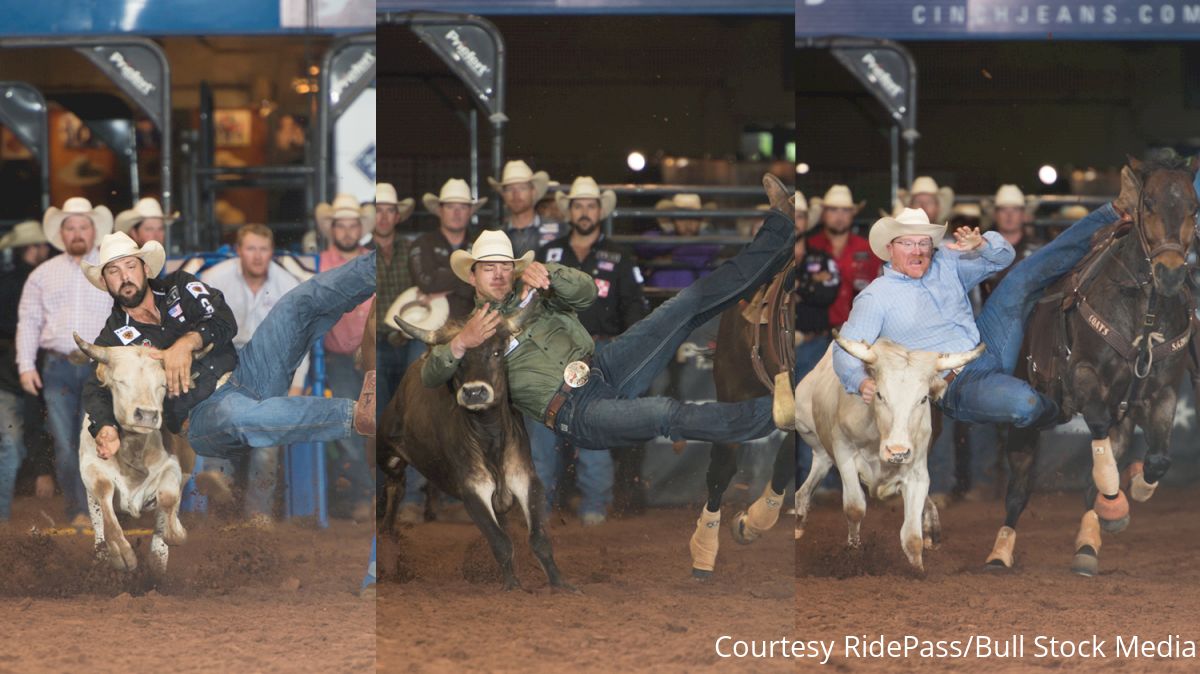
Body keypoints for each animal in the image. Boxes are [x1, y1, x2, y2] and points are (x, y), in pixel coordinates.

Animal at [984, 154, 1200, 575]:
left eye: (1194, 207)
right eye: (1149, 202)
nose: (1169, 273)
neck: (1142, 313)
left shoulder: (1163, 393)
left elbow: (1158, 460)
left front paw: (1134, 486)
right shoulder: (1083, 375)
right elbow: (1098, 431)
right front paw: (1116, 503)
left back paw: (1086, 547)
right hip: (1028, 419)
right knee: (1018, 491)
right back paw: (999, 553)